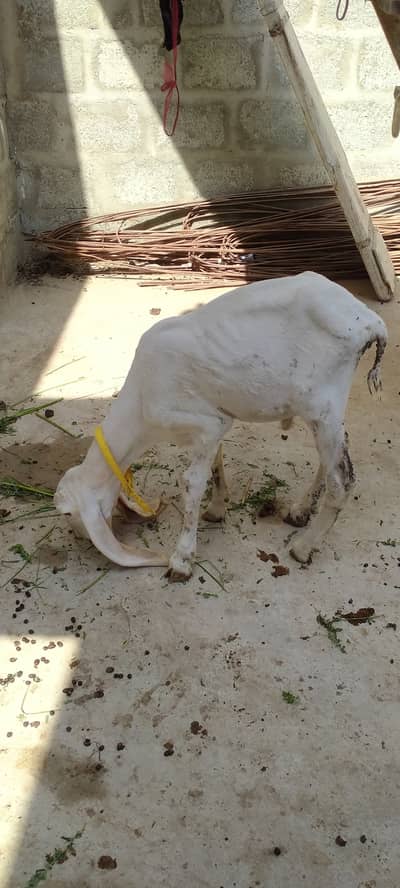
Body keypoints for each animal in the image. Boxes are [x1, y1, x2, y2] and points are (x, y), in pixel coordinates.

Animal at [54, 272, 387, 581]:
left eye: (69, 513)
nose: (78, 538)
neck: (140, 403)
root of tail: (370, 320)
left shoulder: (207, 421)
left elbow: (191, 483)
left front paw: (181, 560)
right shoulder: (211, 426)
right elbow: (215, 463)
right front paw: (216, 509)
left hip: (323, 405)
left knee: (342, 480)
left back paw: (303, 547)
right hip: (324, 411)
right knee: (331, 459)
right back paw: (300, 510)